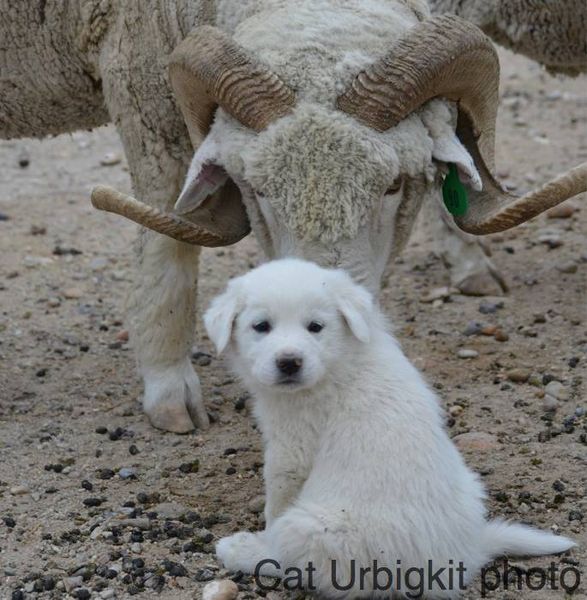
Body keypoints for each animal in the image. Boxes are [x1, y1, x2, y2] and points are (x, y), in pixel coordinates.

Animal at [204, 260, 576, 596]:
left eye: (315, 326)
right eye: (261, 326)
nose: (289, 362)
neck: (339, 361)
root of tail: (465, 555)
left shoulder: (291, 448)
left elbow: (277, 503)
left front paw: (261, 537)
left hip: (315, 528)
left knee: (301, 566)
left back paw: (242, 551)